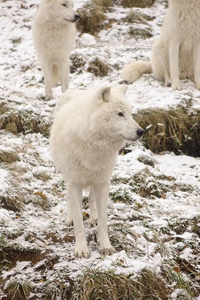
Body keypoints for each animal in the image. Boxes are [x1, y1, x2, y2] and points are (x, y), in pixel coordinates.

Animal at [49, 85, 144, 258]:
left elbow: (103, 221)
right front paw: (81, 248)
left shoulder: (103, 183)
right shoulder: (74, 183)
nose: (141, 131)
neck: (93, 144)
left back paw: (93, 217)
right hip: (67, 176)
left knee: (91, 197)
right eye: (120, 114)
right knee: (70, 200)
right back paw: (69, 217)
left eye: (130, 113)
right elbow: (79, 223)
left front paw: (105, 246)